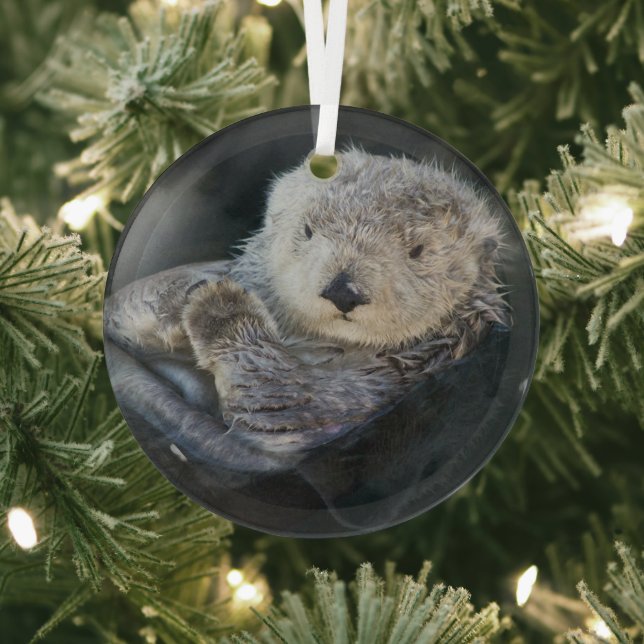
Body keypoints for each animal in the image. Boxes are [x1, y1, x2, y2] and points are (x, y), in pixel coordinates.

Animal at [104, 149, 510, 453]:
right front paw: (186, 294)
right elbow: (124, 305)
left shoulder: (372, 388)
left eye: (418, 250)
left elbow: (280, 401)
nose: (343, 290)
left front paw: (220, 306)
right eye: (308, 230)